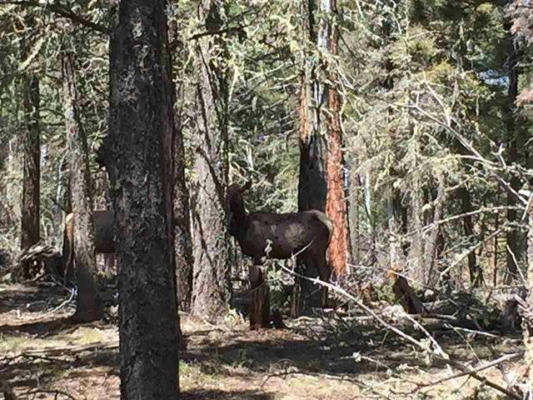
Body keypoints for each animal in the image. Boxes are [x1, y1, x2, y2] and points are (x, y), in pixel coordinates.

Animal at [225, 183, 332, 330]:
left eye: (238, 192)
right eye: (228, 192)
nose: (228, 207)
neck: (242, 228)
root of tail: (330, 224)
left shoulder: (259, 252)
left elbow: (256, 283)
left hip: (317, 248)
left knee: (325, 272)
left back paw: (324, 306)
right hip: (305, 252)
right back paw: (296, 312)